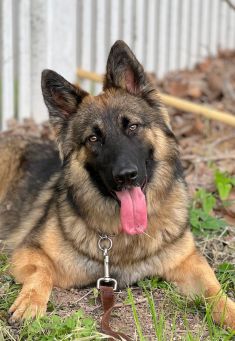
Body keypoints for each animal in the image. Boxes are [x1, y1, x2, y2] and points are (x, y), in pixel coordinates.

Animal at [0, 40, 234, 330]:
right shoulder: (29, 252)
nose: (126, 175)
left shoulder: (189, 261)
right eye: (93, 138)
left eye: (132, 126)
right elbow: (42, 271)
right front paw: (31, 302)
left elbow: (214, 288)